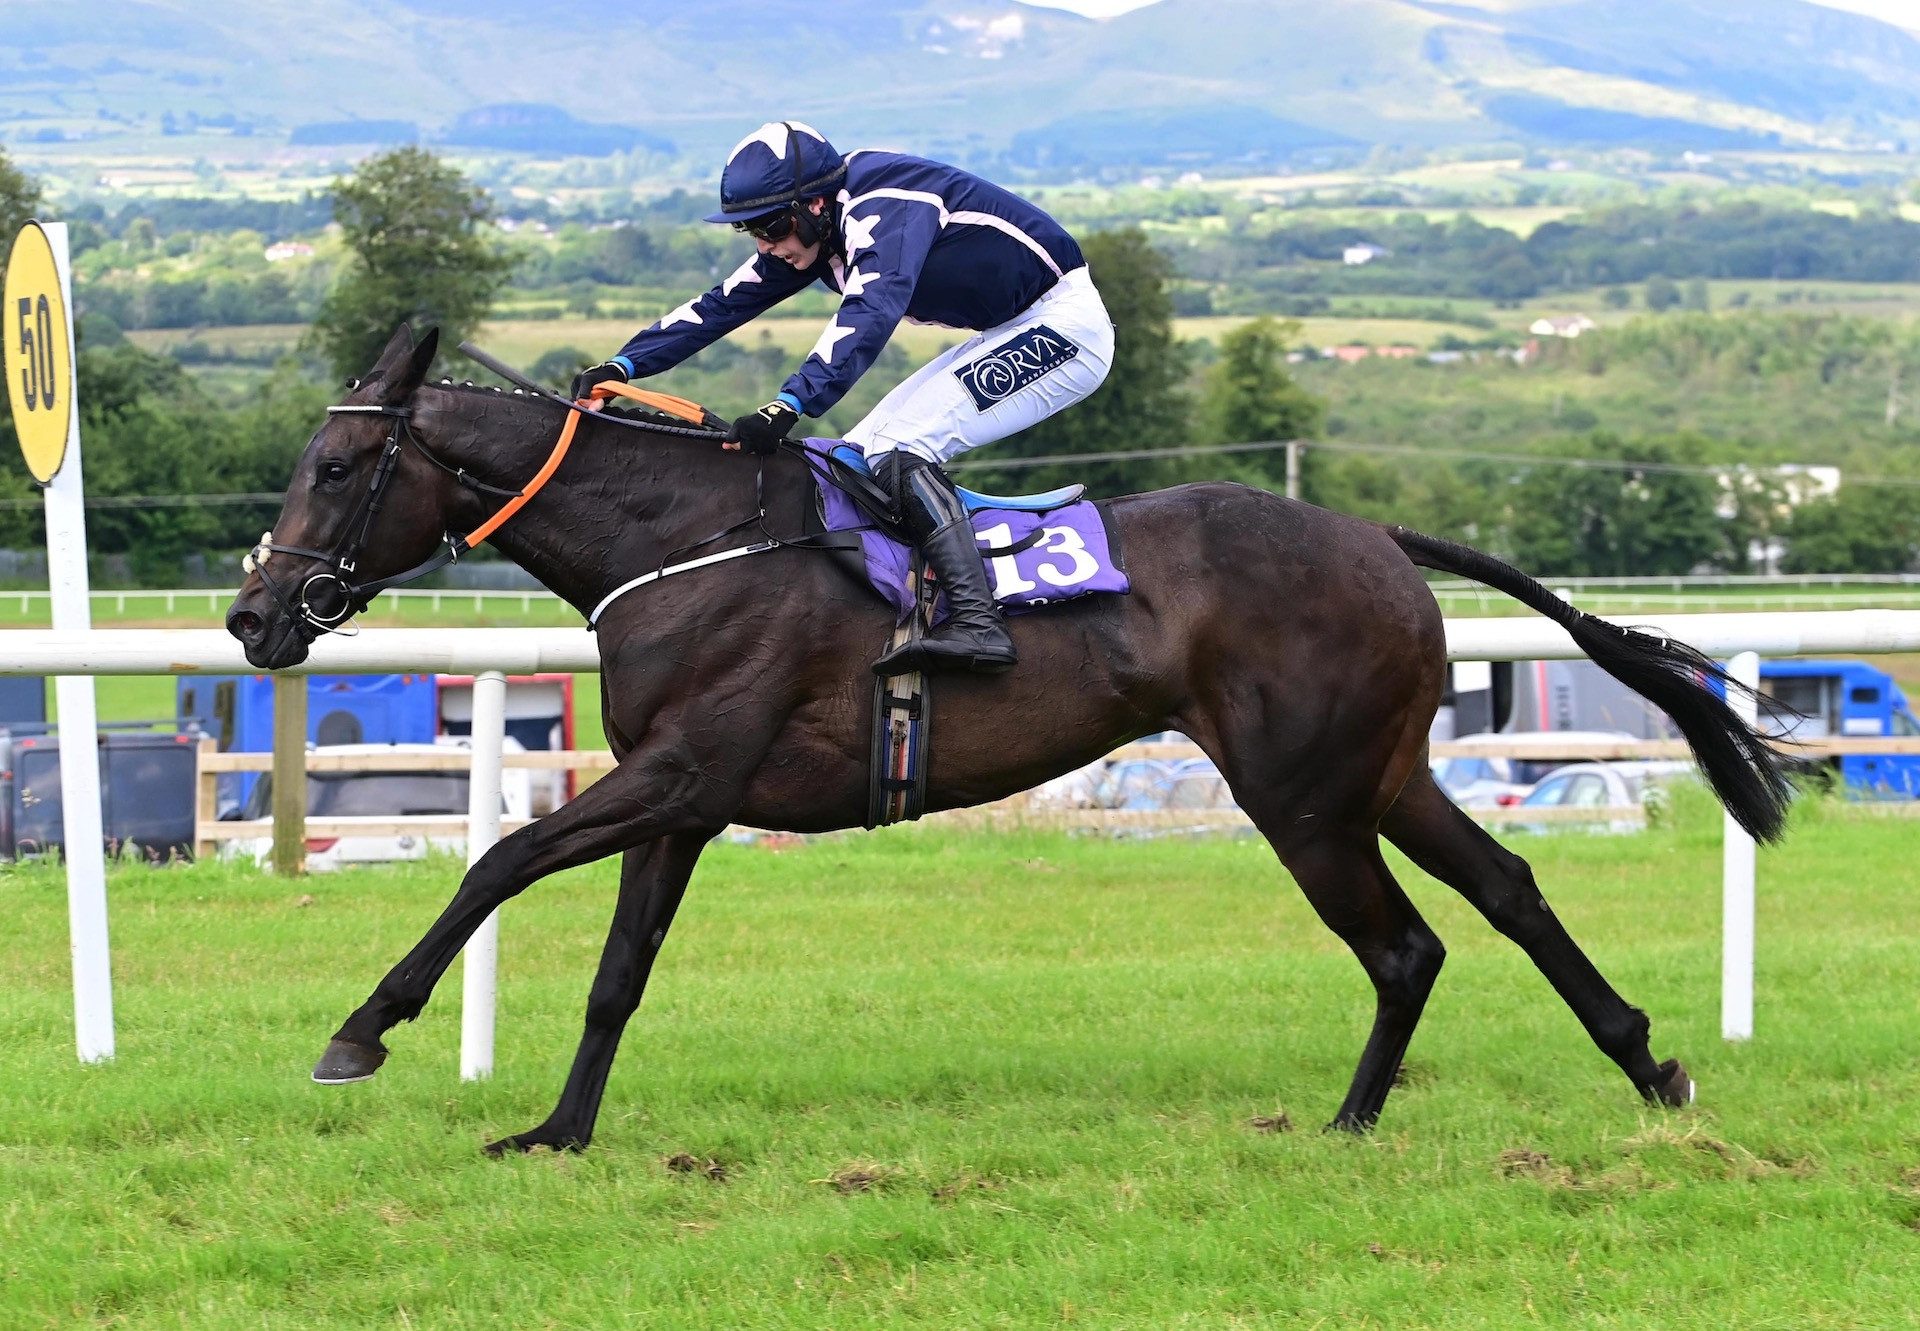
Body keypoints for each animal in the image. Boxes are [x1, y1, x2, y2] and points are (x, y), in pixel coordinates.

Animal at [228, 326, 1797, 1160]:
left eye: (337, 465)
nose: (251, 614)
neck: (681, 538)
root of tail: (1375, 531)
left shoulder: (681, 768)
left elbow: (493, 861)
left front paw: (361, 1029)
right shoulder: (683, 793)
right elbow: (620, 971)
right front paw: (556, 1129)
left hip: (1301, 792)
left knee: (1406, 944)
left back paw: (1354, 1119)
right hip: (1390, 768)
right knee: (1512, 893)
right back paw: (1648, 1065)